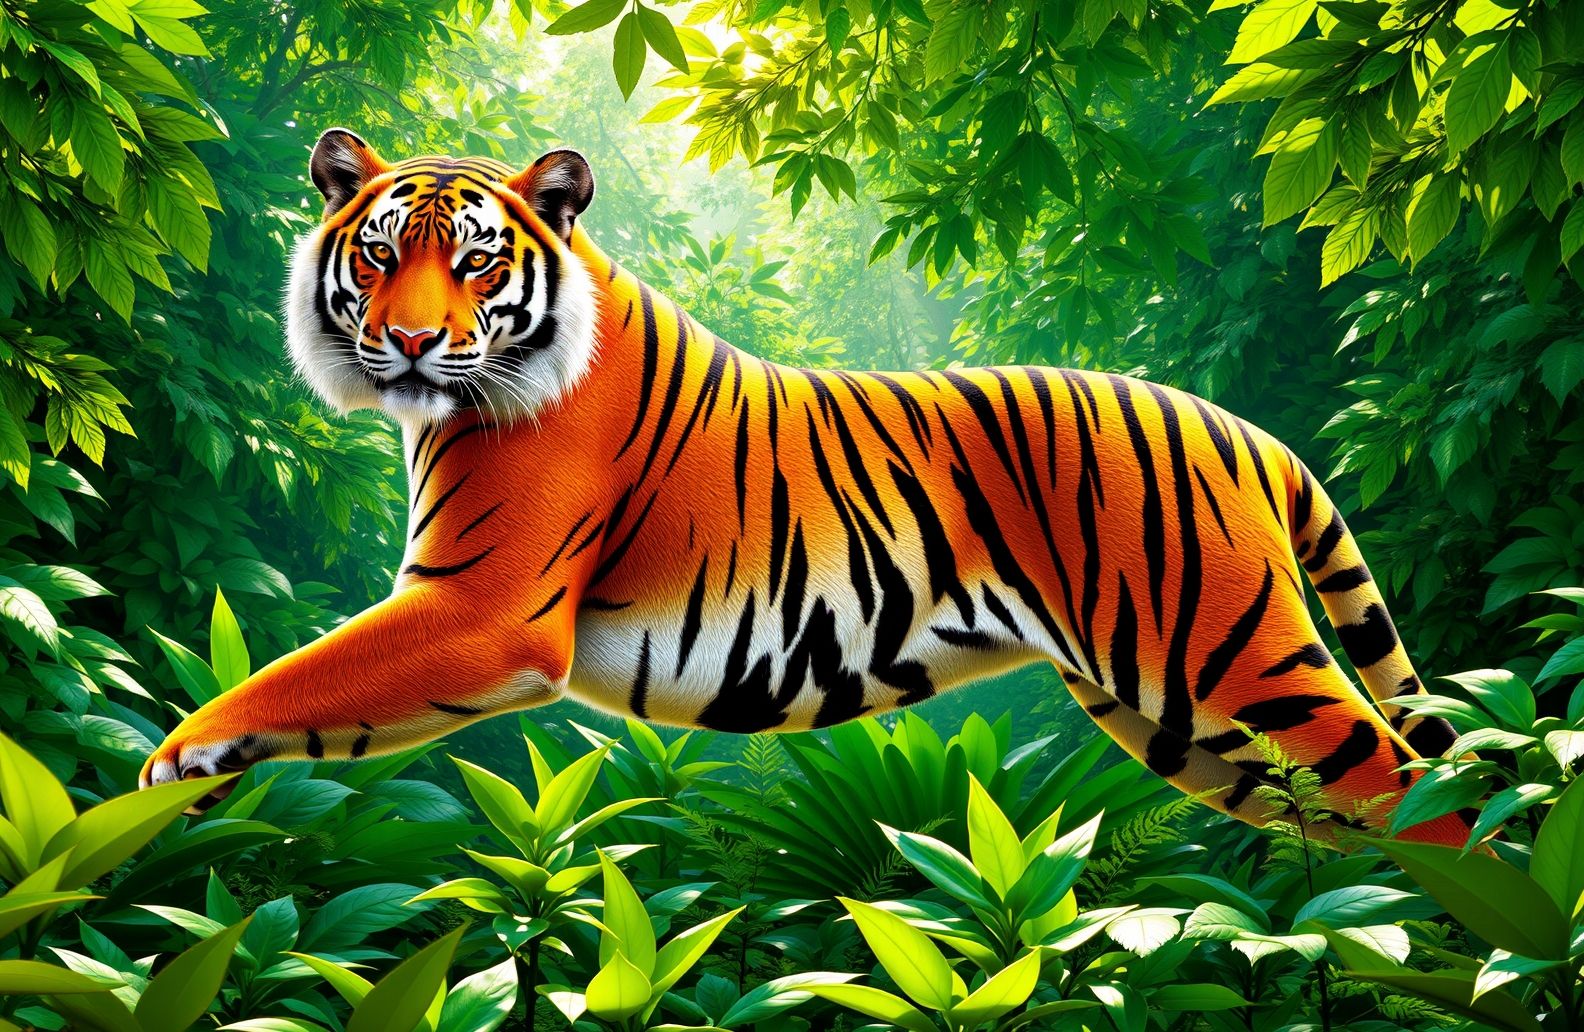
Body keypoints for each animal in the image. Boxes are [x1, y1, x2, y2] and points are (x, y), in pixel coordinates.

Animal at [140, 128, 1470, 846]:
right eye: (377, 252)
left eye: (473, 262)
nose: (412, 344)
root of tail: (1250, 430)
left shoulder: (480, 612)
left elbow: (294, 678)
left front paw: (162, 773)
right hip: (1188, 727)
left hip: (1235, 654)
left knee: (1427, 795)